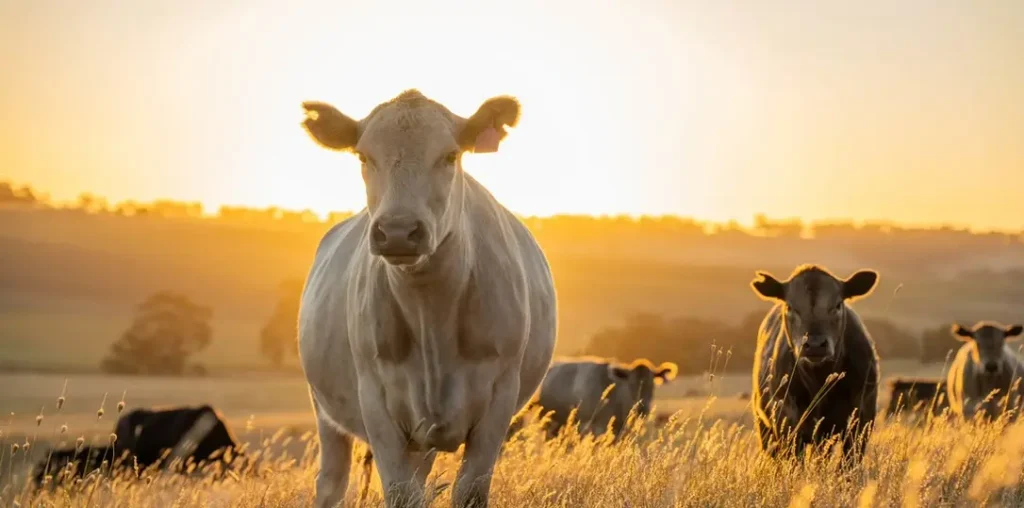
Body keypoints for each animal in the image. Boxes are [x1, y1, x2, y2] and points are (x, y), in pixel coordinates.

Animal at [297, 90, 557, 508]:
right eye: (363, 156)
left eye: (450, 156)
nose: (398, 232)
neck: (430, 312)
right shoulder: (376, 403)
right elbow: (401, 494)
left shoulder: (499, 400)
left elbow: (468, 491)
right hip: (326, 412)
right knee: (331, 483)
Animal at [749, 264, 880, 464]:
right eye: (790, 307)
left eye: (838, 305)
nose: (815, 344)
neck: (819, 380)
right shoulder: (787, 423)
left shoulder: (861, 422)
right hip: (764, 425)